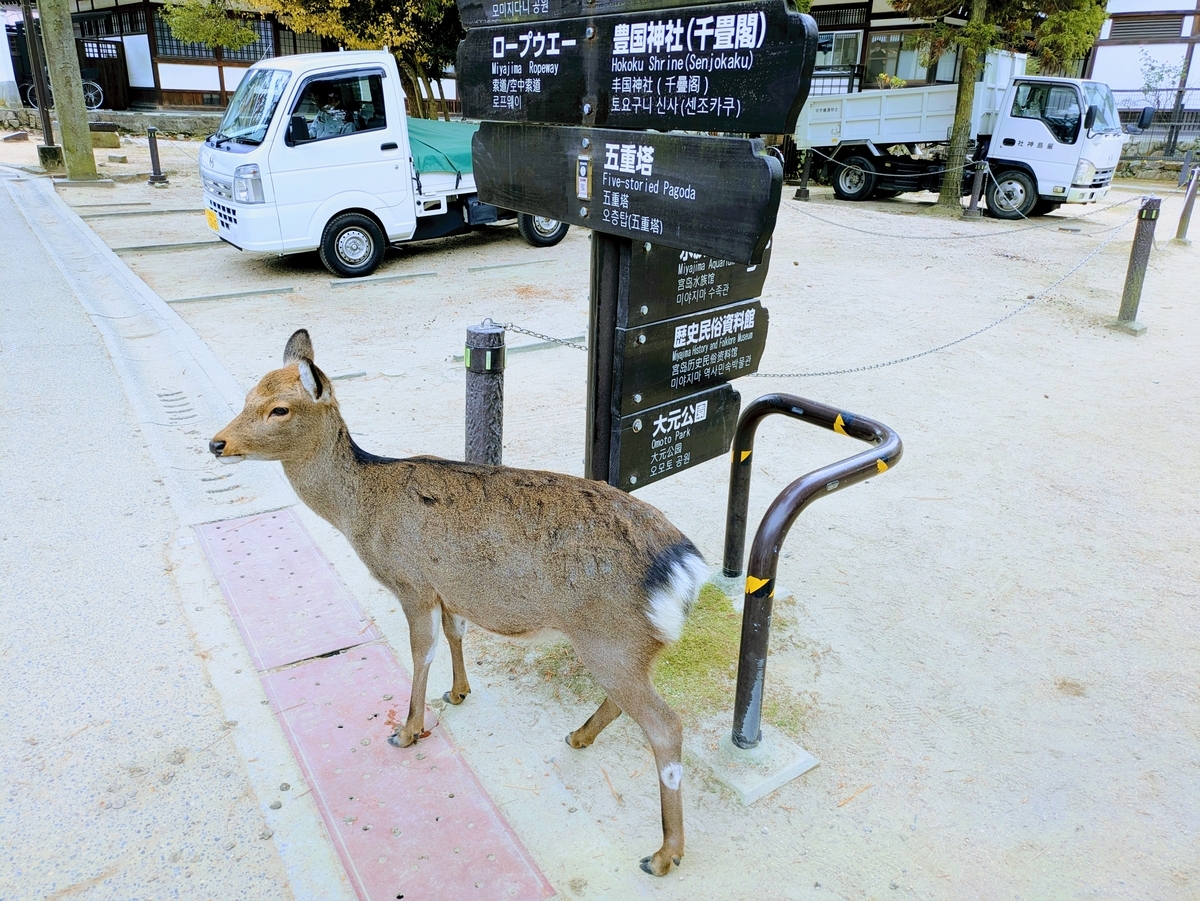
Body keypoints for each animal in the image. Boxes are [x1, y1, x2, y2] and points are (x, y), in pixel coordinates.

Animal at [209, 329, 708, 876]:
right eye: (248, 397)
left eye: (279, 408)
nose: (216, 443)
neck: (361, 512)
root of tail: (686, 569)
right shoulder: (445, 588)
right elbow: (455, 633)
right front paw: (458, 692)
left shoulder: (411, 582)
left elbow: (420, 651)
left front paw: (406, 731)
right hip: (631, 646)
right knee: (628, 704)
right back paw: (578, 737)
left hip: (610, 637)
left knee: (666, 725)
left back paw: (664, 853)